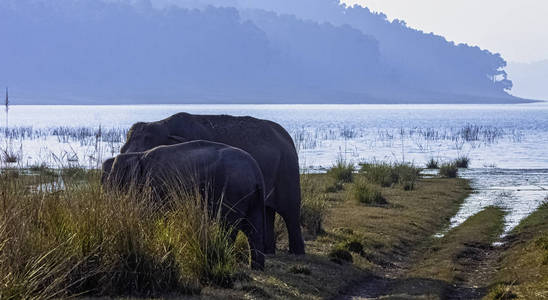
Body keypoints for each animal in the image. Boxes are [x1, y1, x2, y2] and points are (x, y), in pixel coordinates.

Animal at [104, 141, 266, 270]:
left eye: (112, 178)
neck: (139, 155)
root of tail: (256, 173)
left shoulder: (155, 186)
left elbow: (152, 215)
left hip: (233, 192)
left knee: (227, 227)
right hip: (254, 198)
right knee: (254, 230)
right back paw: (256, 268)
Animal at [116, 113, 304, 255]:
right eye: (122, 150)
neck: (164, 125)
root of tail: (287, 137)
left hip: (287, 170)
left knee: (290, 212)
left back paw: (296, 253)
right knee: (267, 211)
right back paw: (268, 252)